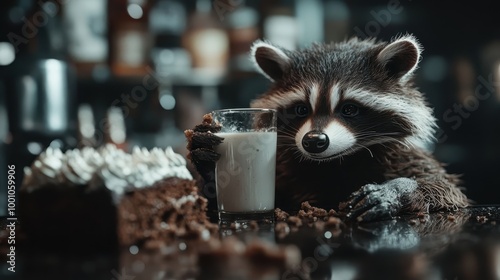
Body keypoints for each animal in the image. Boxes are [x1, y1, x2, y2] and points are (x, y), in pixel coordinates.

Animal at [185, 35, 468, 222]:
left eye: (349, 109)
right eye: (301, 110)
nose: (313, 141)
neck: (336, 162)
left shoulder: (403, 154)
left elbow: (446, 189)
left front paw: (399, 189)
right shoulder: (284, 170)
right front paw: (208, 166)